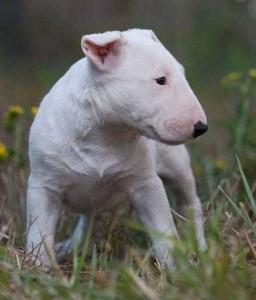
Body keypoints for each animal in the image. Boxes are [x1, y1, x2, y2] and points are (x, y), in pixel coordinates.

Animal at [26, 28, 208, 272]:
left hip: (176, 165)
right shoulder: (43, 185)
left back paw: (201, 248)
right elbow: (39, 232)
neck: (105, 134)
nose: (201, 127)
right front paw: (38, 268)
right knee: (89, 219)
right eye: (160, 80)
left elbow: (163, 229)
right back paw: (72, 247)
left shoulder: (146, 184)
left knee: (188, 201)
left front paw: (177, 270)